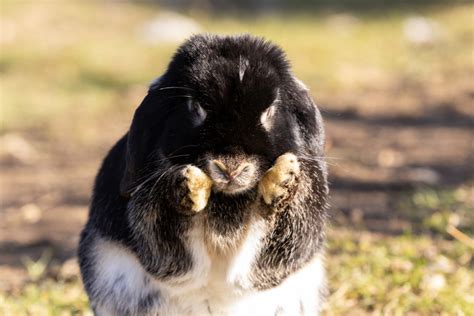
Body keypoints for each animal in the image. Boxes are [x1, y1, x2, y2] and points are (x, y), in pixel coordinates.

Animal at [78, 34, 330, 316]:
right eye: (196, 107)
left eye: (270, 110)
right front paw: (187, 186)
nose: (231, 167)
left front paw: (283, 180)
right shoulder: (160, 244)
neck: (228, 199)